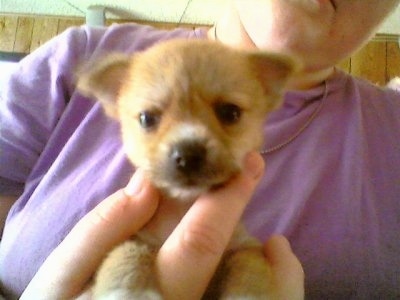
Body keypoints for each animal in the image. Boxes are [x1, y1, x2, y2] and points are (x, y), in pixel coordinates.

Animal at [78, 38, 296, 298]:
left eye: (230, 112)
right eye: (147, 118)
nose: (188, 154)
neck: (183, 207)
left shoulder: (244, 244)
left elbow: (250, 265)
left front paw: (247, 294)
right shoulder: (135, 237)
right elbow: (125, 252)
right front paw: (130, 291)